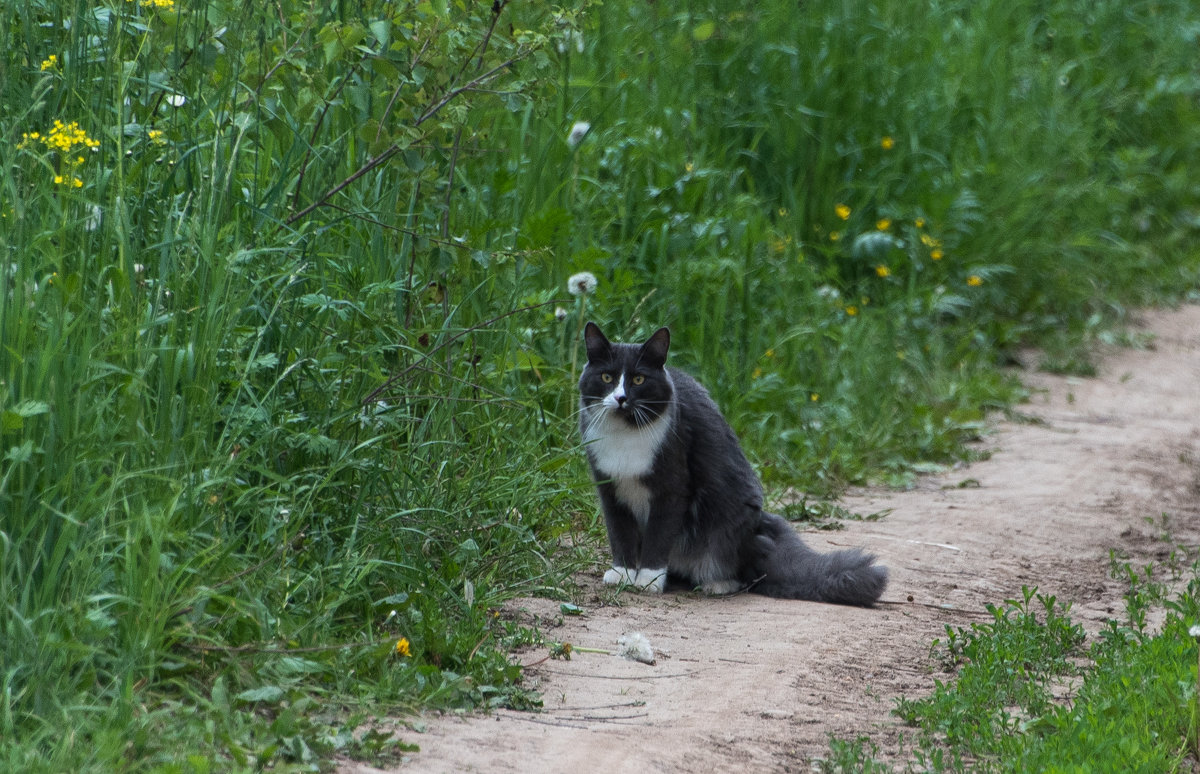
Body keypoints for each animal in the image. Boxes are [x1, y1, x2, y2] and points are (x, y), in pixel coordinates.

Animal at [576, 319, 888, 604]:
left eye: (639, 379)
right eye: (606, 377)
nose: (621, 398)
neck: (625, 435)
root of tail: (761, 525)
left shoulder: (672, 487)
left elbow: (659, 536)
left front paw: (648, 580)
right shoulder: (609, 488)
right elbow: (620, 533)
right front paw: (623, 573)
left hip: (729, 518)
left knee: (741, 571)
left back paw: (716, 584)